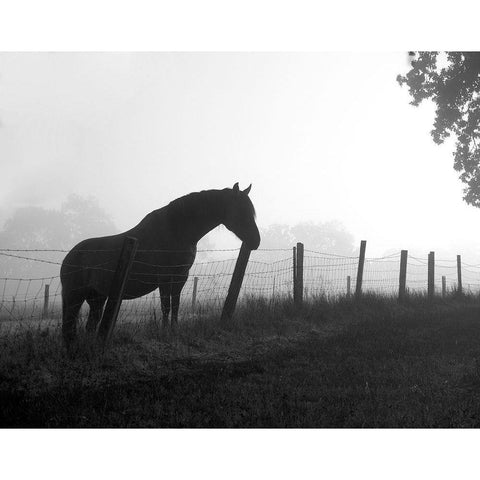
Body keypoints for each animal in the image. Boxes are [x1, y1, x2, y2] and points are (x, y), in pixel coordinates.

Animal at [61, 183, 260, 344]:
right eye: (241, 211)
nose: (256, 241)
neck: (176, 231)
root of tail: (70, 256)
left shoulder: (181, 277)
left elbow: (175, 305)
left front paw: (174, 329)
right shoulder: (164, 277)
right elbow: (166, 306)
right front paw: (164, 332)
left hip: (96, 298)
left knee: (89, 325)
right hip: (74, 296)